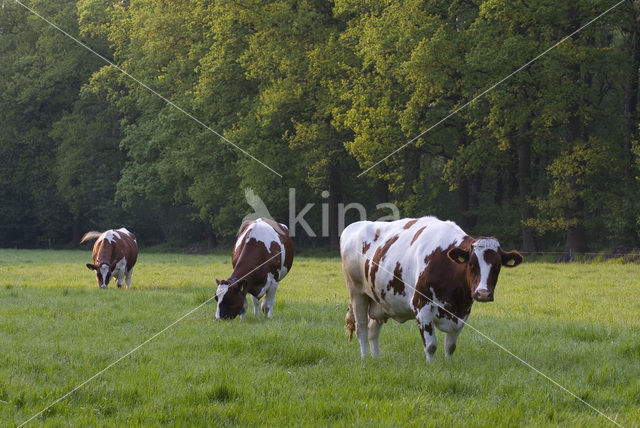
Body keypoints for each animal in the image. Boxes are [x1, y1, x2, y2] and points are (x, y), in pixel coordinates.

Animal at [340, 217, 520, 362]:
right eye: (471, 264)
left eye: (497, 266)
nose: (483, 293)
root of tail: (353, 226)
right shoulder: (421, 305)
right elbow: (431, 345)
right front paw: (430, 366)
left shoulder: (462, 313)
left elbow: (450, 346)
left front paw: (449, 364)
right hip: (357, 293)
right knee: (362, 329)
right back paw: (365, 359)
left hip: (379, 301)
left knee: (373, 330)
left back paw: (376, 359)